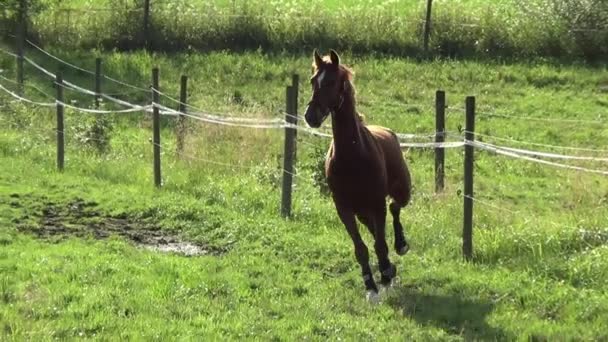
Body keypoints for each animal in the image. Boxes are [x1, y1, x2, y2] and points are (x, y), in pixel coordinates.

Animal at [304, 49, 414, 300]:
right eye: (313, 81)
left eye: (331, 81)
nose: (310, 116)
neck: (353, 156)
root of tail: (388, 132)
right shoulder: (344, 208)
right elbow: (361, 248)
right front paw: (371, 286)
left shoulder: (376, 203)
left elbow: (380, 244)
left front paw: (385, 277)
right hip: (362, 211)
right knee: (376, 229)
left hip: (401, 192)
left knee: (394, 208)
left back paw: (400, 247)